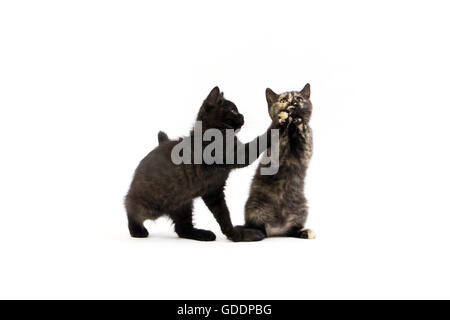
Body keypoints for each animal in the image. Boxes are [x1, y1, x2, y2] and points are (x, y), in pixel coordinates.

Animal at [125, 86, 270, 241]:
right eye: (232, 110)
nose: (243, 116)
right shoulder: (236, 156)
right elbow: (257, 142)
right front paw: (275, 128)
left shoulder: (214, 190)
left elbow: (223, 215)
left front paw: (236, 235)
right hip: (149, 204)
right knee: (130, 208)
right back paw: (137, 230)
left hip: (183, 204)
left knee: (182, 228)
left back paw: (202, 234)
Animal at [237, 84, 314, 241]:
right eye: (283, 100)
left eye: (299, 98)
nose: (293, 103)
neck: (291, 132)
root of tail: (276, 230)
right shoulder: (274, 154)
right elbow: (279, 137)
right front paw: (283, 119)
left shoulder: (306, 152)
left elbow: (305, 133)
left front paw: (300, 121)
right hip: (254, 208)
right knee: (257, 227)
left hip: (302, 209)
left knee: (292, 230)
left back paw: (304, 232)